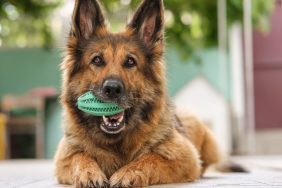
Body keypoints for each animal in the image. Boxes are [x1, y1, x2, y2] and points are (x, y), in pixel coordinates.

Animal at [54, 0, 219, 187]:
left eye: (130, 62)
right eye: (97, 60)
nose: (112, 89)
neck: (116, 142)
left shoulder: (186, 156)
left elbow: (151, 158)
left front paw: (127, 173)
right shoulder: (64, 156)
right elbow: (79, 156)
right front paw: (88, 173)